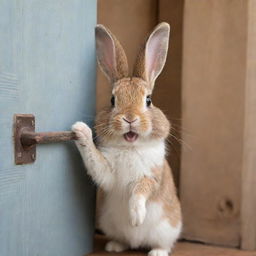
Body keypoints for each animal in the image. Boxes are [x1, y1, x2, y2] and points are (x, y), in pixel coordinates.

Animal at [72, 22, 182, 256]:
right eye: (112, 100)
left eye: (149, 100)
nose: (130, 118)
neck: (130, 147)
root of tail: (137, 243)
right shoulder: (107, 174)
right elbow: (96, 163)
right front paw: (80, 130)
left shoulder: (153, 177)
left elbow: (140, 191)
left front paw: (136, 218)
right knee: (123, 241)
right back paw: (115, 246)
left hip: (169, 228)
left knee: (164, 243)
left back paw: (157, 251)